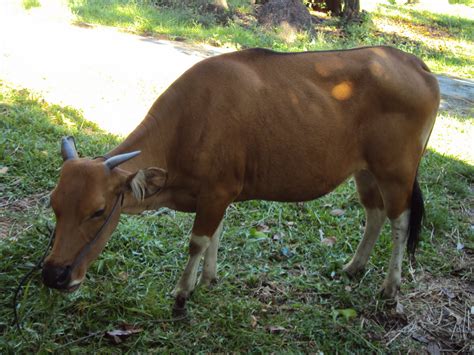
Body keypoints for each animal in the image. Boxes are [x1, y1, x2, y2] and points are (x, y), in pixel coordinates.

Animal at [42, 46, 438, 316]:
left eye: (98, 211)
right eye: (54, 206)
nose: (53, 275)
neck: (186, 125)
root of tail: (416, 65)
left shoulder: (217, 192)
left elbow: (197, 241)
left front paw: (182, 294)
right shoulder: (215, 196)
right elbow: (214, 235)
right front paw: (207, 280)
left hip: (396, 171)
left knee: (400, 221)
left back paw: (391, 286)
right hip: (365, 171)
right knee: (374, 214)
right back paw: (354, 268)